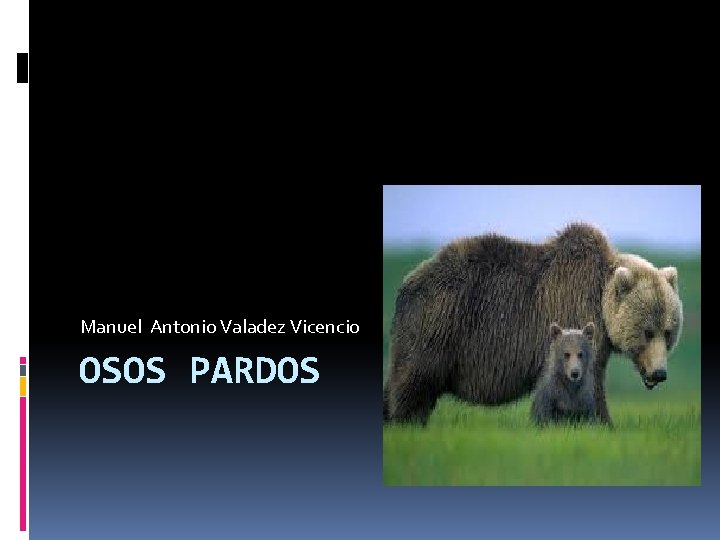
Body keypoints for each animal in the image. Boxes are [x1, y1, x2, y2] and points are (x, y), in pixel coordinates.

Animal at [383, 223, 683, 426]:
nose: (659, 373)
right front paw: (602, 423)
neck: (600, 297)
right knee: (414, 381)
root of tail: (408, 281)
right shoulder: (574, 308)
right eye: (647, 331)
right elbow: (591, 380)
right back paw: (404, 421)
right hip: (437, 324)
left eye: (668, 331)